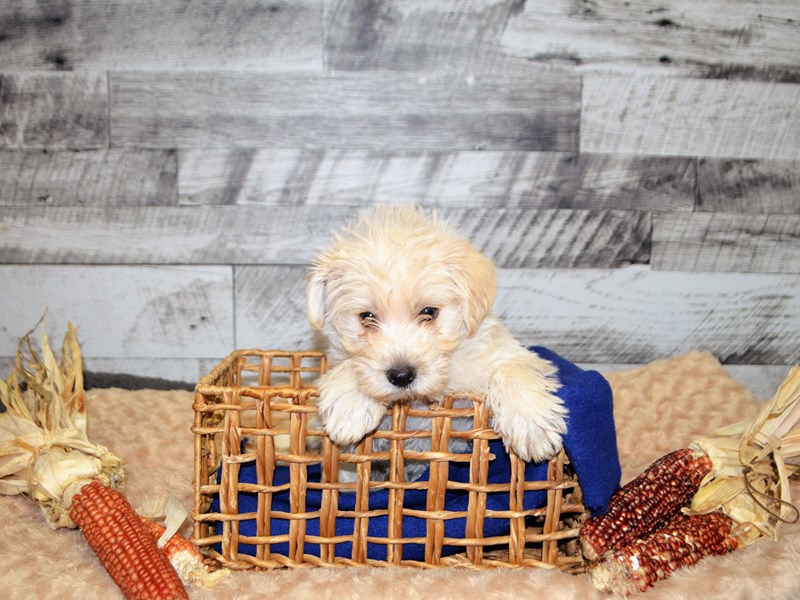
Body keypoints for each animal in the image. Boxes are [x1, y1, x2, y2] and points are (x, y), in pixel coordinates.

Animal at [306, 204, 568, 472]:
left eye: (429, 312)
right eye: (366, 317)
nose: (401, 375)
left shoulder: (498, 354)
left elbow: (512, 370)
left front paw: (531, 425)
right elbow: (350, 366)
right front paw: (349, 405)